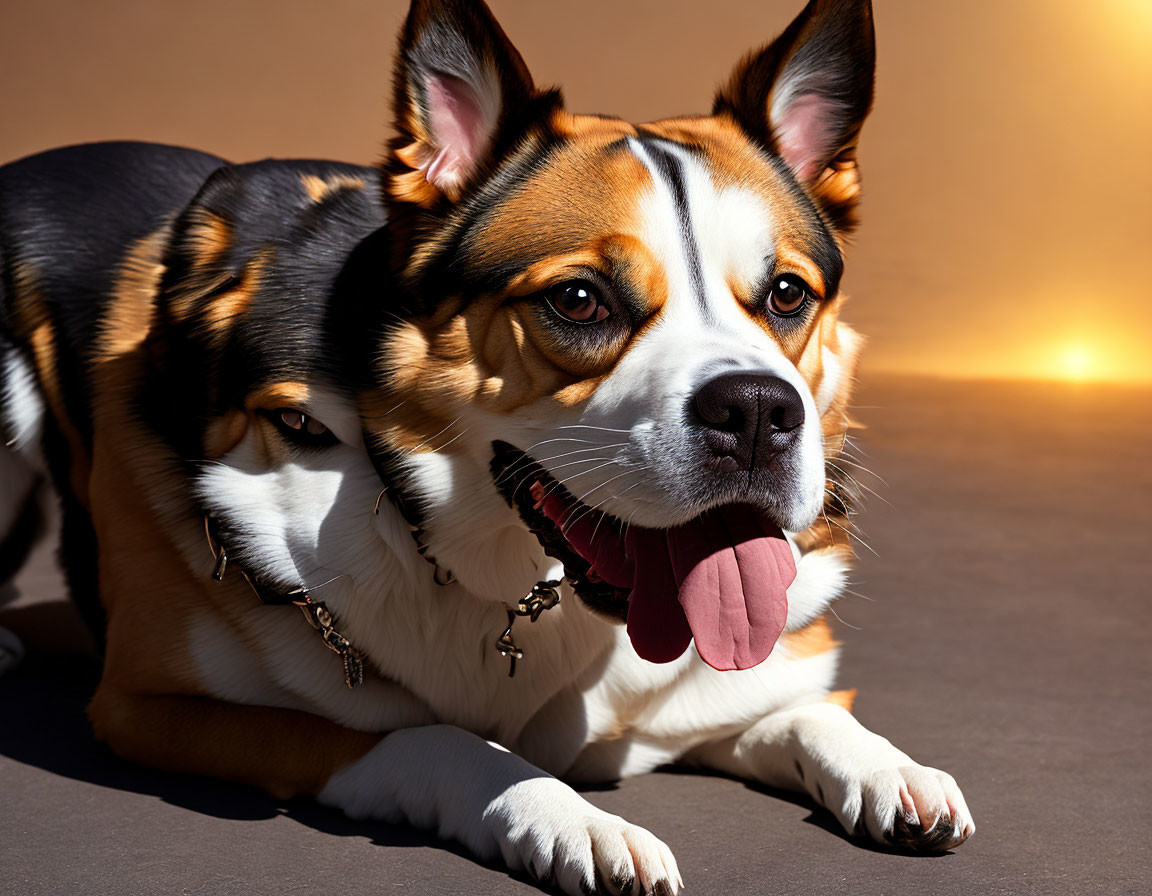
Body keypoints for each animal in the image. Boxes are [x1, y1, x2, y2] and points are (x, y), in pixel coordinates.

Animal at [0, 0, 972, 884]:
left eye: (786, 294)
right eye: (579, 301)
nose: (759, 414)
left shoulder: (717, 693)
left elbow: (806, 710)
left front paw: (890, 769)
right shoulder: (152, 708)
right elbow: (428, 734)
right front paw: (570, 821)